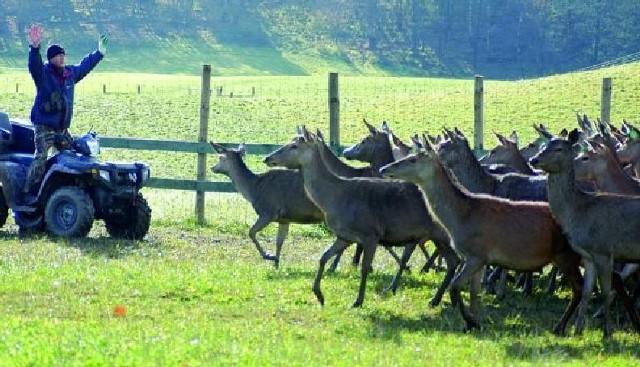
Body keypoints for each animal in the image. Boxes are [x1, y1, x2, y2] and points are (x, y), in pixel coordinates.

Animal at [262, 128, 460, 310]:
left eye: (294, 146)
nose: (267, 158)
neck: (333, 199)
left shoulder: (370, 233)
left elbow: (364, 267)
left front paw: (358, 300)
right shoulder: (344, 236)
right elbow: (323, 257)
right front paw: (319, 295)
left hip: (444, 234)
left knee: (457, 260)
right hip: (439, 236)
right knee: (453, 262)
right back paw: (437, 299)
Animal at [380, 138, 584, 336]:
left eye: (413, 159)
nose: (384, 169)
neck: (462, 219)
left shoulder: (476, 254)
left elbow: (455, 286)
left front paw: (471, 322)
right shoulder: (481, 260)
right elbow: (474, 293)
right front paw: (472, 323)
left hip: (567, 255)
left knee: (579, 288)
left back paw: (561, 326)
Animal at [528, 132, 640, 340]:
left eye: (559, 148)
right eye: (544, 144)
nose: (533, 160)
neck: (578, 211)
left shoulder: (604, 250)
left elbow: (605, 292)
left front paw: (607, 332)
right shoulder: (588, 255)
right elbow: (586, 291)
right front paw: (578, 331)